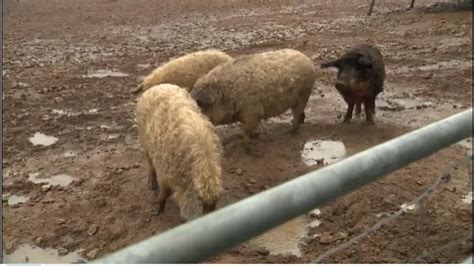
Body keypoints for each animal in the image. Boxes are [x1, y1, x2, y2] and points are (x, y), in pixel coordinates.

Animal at [133, 83, 222, 220]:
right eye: (202, 210)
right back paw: (152, 186)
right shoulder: (164, 170)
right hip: (144, 140)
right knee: (150, 164)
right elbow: (164, 192)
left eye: (212, 209)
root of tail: (156, 87)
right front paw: (158, 211)